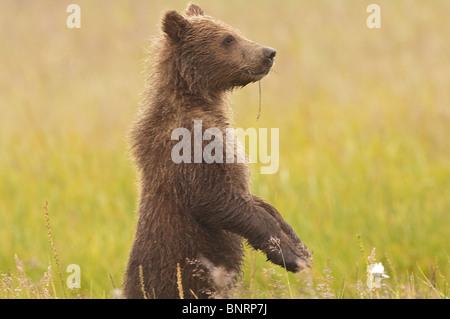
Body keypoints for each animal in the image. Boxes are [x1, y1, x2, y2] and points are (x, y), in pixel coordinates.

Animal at [125, 1, 312, 300]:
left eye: (236, 31)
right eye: (228, 39)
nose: (268, 52)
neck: (198, 101)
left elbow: (256, 200)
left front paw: (297, 241)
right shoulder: (187, 145)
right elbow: (215, 198)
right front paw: (290, 255)